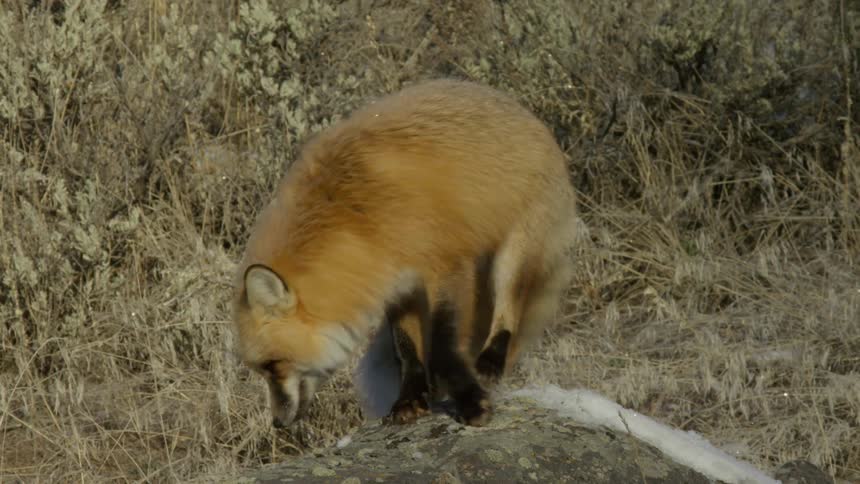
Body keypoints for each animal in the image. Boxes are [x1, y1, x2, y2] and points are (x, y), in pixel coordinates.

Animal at [231, 78, 579, 428]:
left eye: (273, 365)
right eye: (264, 369)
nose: (277, 423)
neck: (359, 224)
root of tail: (518, 106)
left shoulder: (447, 266)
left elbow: (442, 347)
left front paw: (471, 403)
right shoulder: (398, 288)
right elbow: (407, 349)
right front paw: (410, 399)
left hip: (512, 255)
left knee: (509, 309)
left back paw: (491, 360)